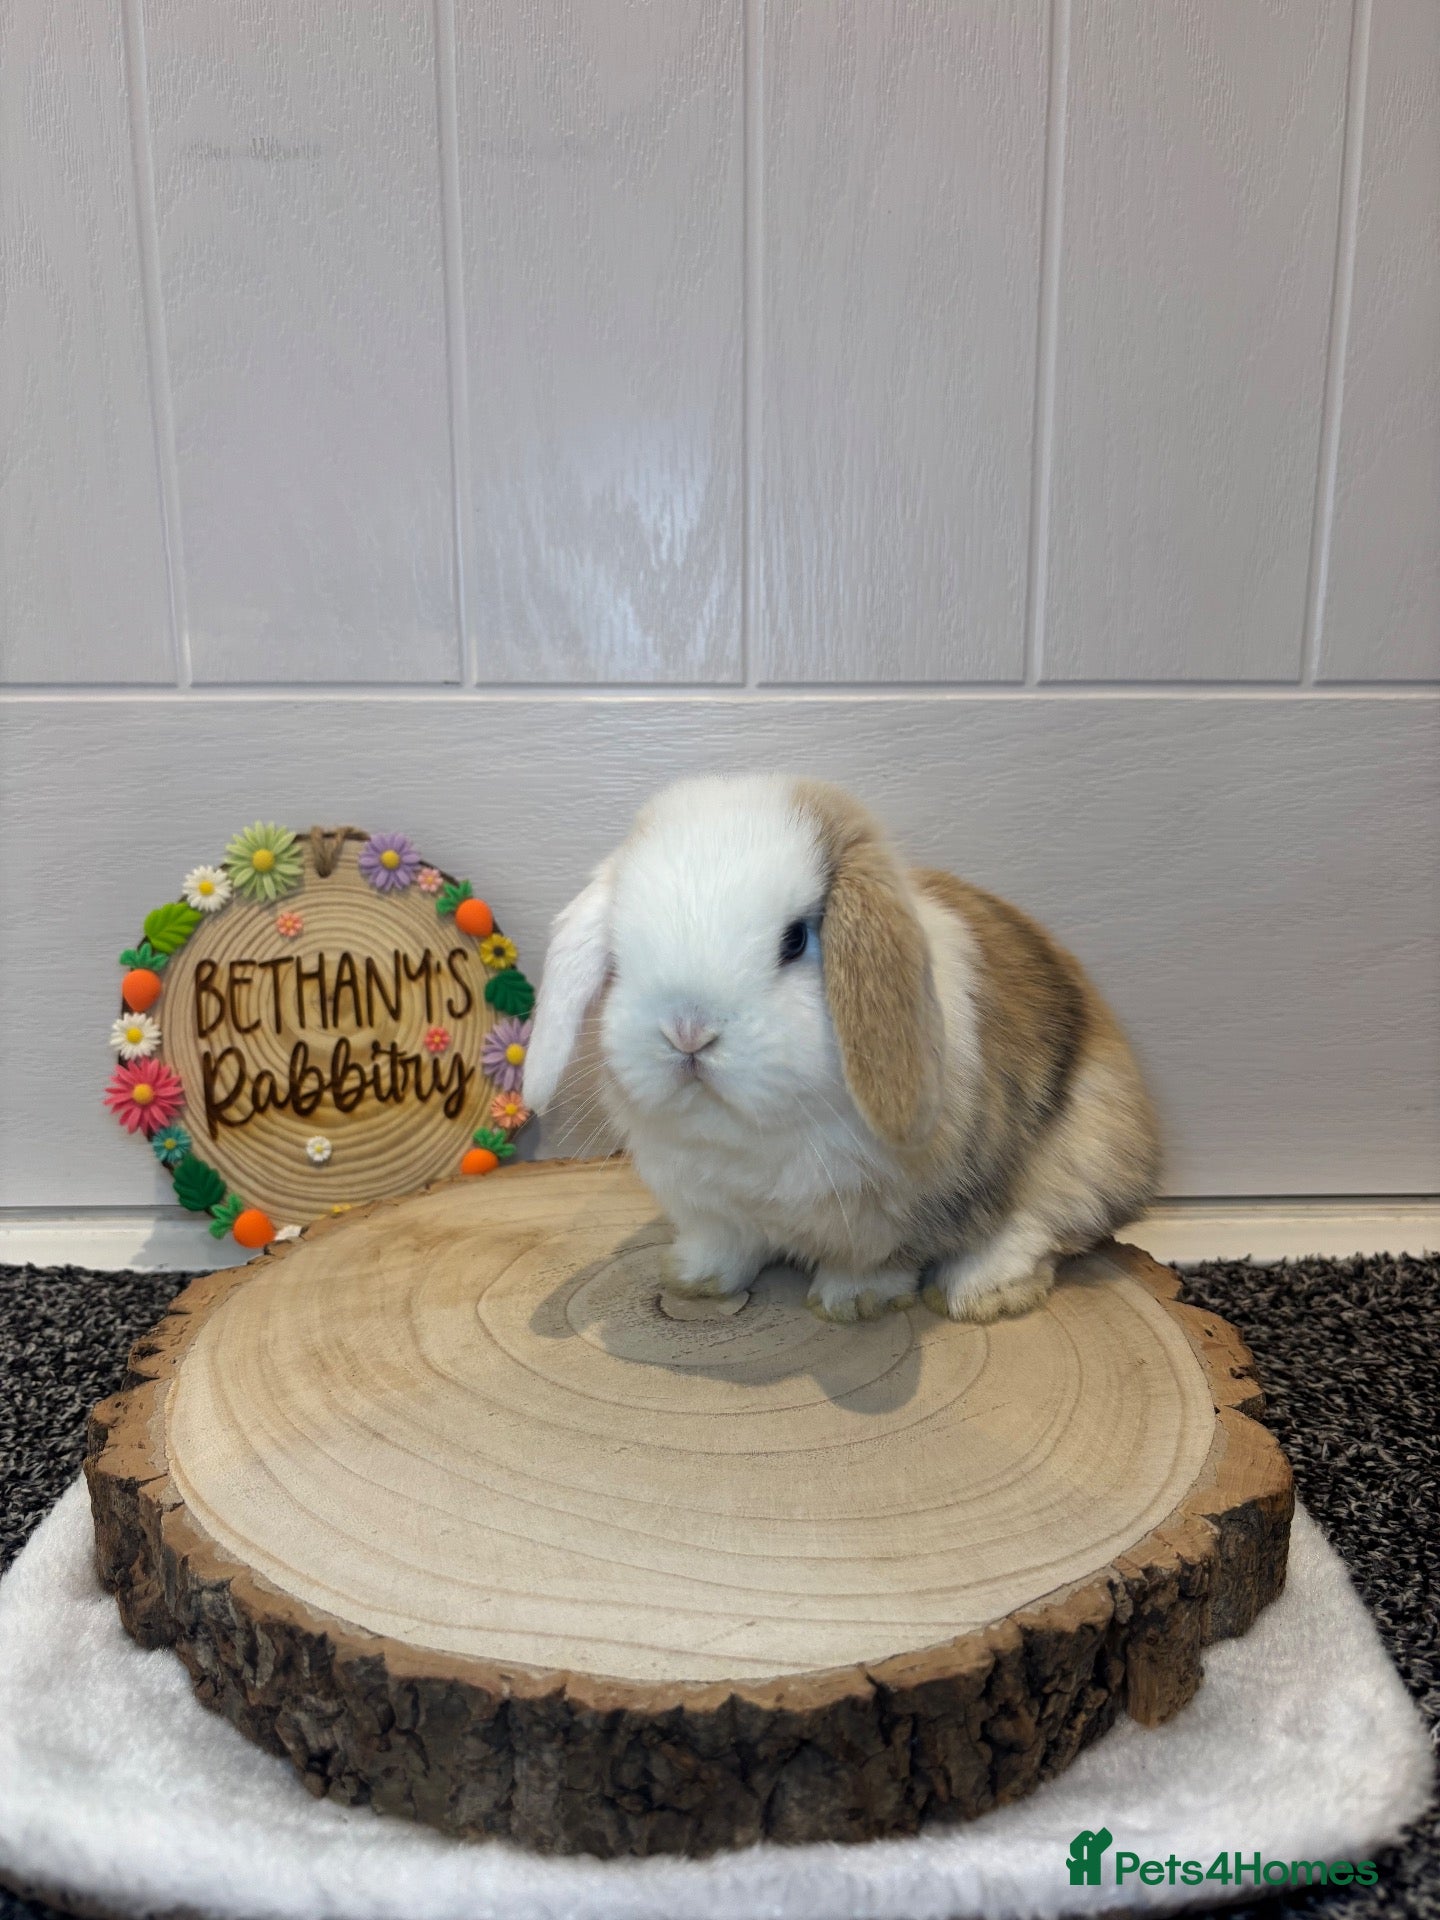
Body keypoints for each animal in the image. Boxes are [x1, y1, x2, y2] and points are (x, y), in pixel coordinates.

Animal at [523, 774, 1160, 1324]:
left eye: (795, 939)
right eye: (620, 949)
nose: (687, 1033)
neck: (751, 1136)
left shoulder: (891, 1217)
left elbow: (877, 1263)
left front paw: (853, 1303)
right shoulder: (712, 1209)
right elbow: (726, 1247)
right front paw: (695, 1279)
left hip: (1087, 1146)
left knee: (1042, 1224)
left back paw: (980, 1291)